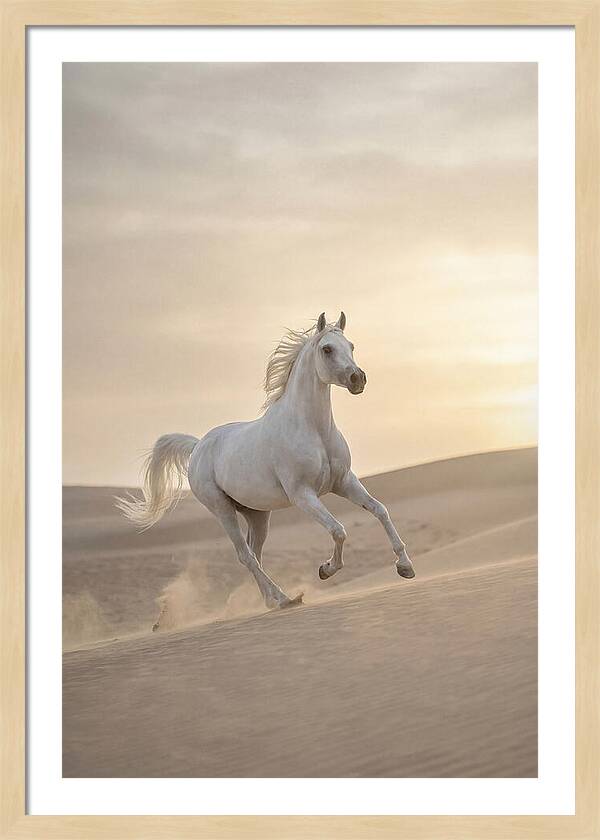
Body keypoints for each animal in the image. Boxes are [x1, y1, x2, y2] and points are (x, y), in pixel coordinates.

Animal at [116, 311, 415, 619]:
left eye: (351, 346)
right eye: (327, 349)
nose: (358, 379)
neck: (313, 429)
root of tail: (198, 446)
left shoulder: (344, 482)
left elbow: (380, 510)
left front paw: (405, 567)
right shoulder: (303, 495)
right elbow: (338, 530)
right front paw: (326, 569)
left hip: (257, 515)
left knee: (255, 554)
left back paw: (271, 600)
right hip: (222, 509)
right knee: (245, 555)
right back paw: (284, 599)